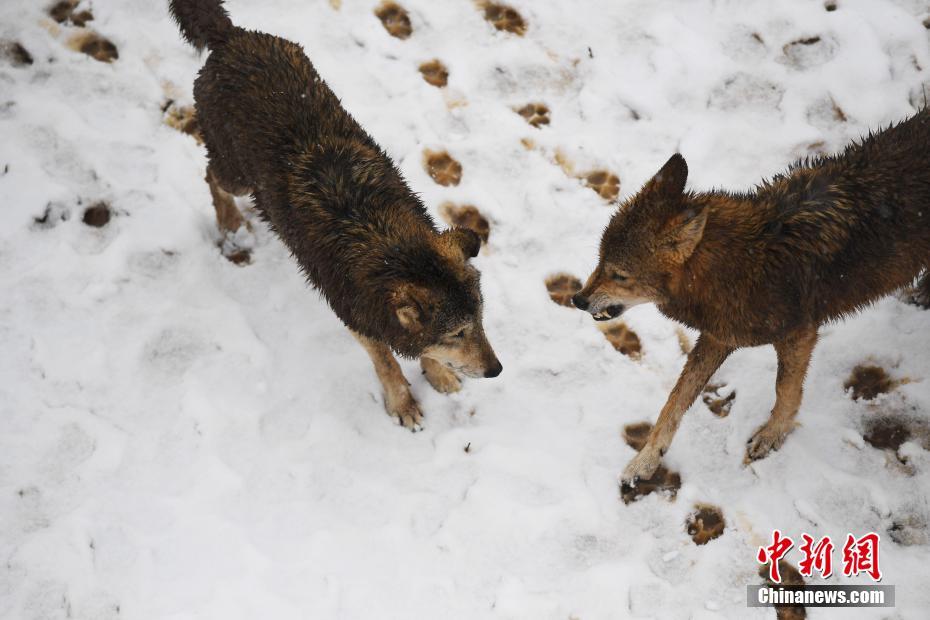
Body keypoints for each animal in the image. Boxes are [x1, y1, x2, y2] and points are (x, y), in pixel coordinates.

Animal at [167, 0, 500, 432]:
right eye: (458, 333)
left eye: (480, 320)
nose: (497, 370)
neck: (387, 242)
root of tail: (230, 36)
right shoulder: (355, 318)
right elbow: (387, 363)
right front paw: (403, 404)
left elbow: (421, 350)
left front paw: (439, 374)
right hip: (237, 176)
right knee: (210, 176)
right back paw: (230, 227)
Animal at [572, 111, 928, 490]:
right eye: (600, 261)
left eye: (619, 275)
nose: (578, 299)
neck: (743, 264)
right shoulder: (718, 337)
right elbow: (674, 402)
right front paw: (645, 461)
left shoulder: (799, 335)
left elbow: (785, 390)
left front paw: (772, 435)